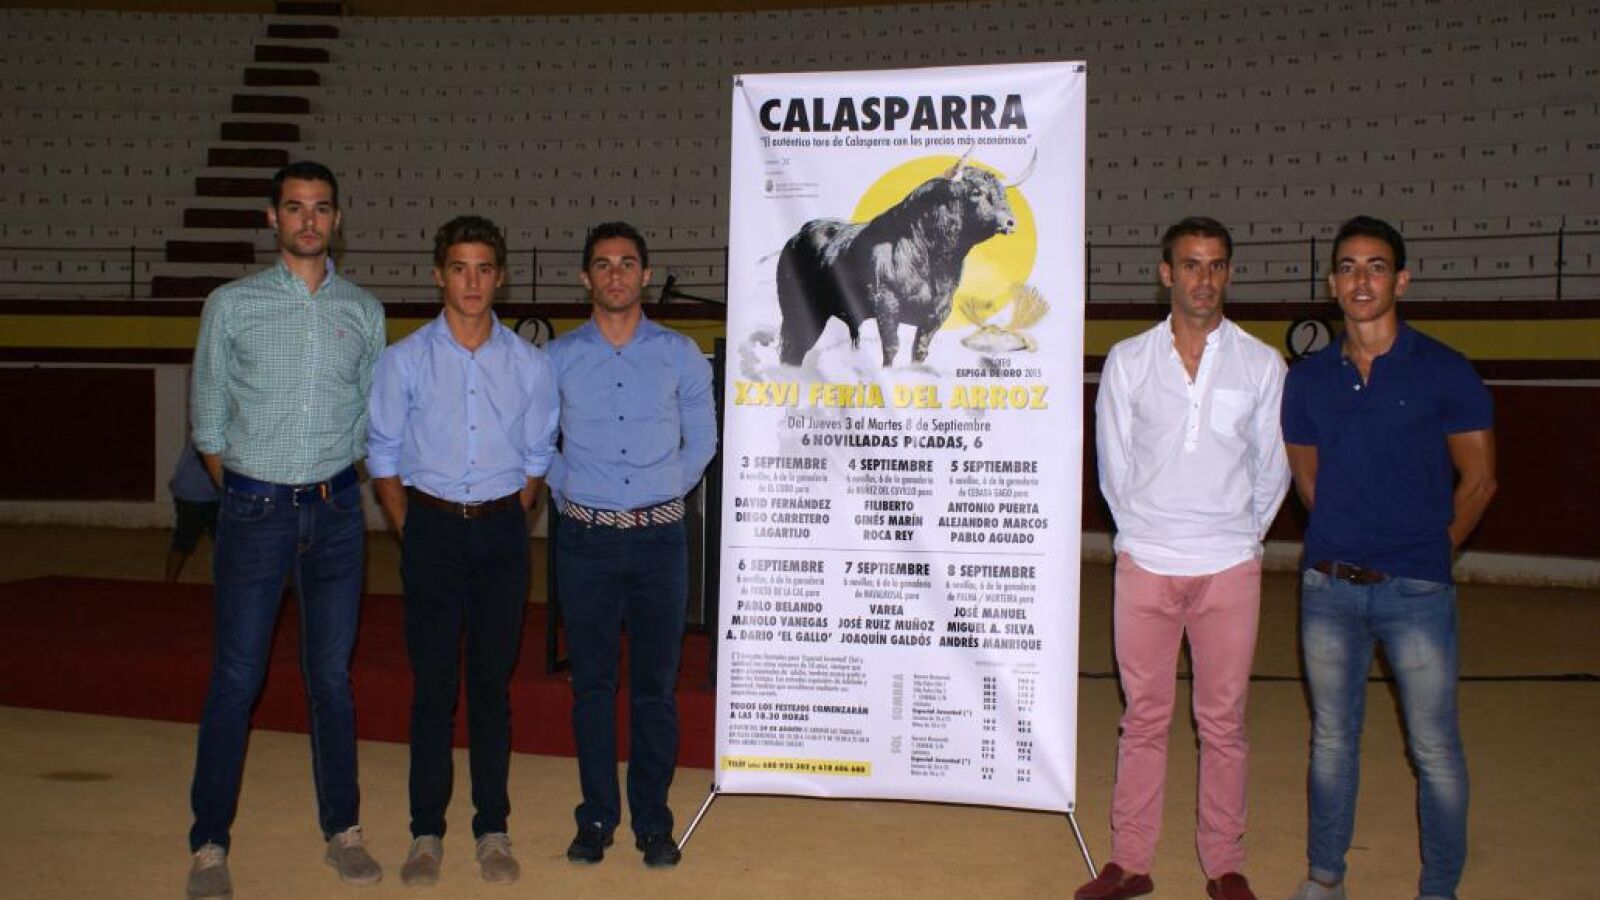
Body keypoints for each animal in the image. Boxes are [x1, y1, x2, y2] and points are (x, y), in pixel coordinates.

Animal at [775, 151, 1027, 367]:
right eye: (976, 192)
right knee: (793, 350)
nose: (1011, 222)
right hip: (798, 312)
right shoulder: (887, 306)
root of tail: (799, 234)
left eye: (1003, 194)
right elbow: (891, 349)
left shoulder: (936, 314)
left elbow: (919, 352)